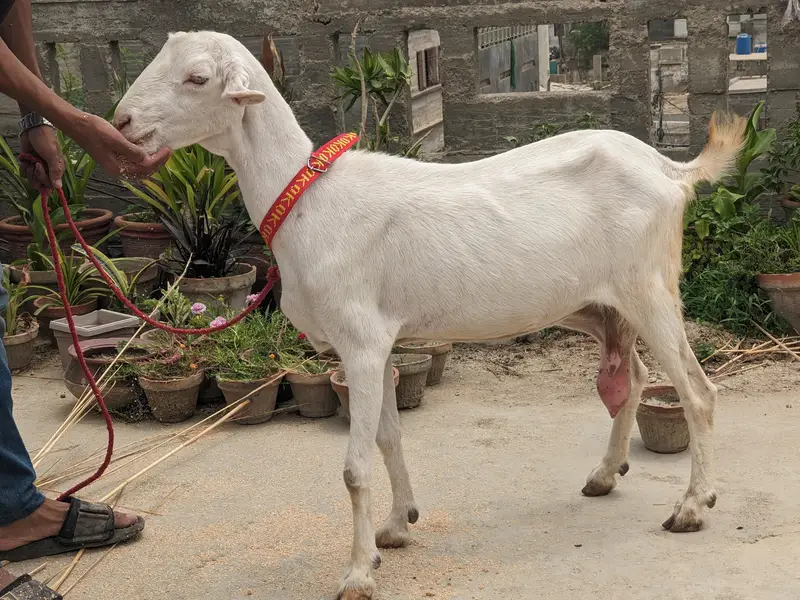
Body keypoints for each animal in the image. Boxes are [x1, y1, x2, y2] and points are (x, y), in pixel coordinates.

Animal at [114, 31, 746, 600]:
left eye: (197, 78)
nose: (121, 122)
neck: (310, 202)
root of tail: (670, 170)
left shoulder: (361, 340)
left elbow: (354, 466)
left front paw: (357, 575)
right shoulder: (381, 345)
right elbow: (389, 437)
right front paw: (396, 527)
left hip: (649, 289)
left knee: (697, 391)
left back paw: (692, 507)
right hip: (596, 305)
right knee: (634, 376)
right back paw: (605, 475)